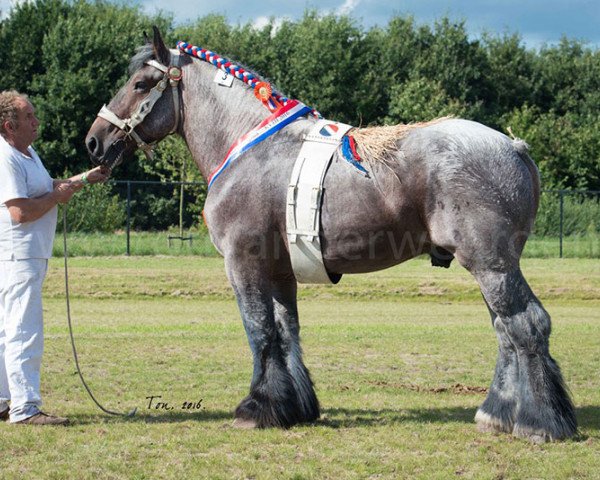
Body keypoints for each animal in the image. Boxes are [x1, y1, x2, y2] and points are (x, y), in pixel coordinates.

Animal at [84, 27, 576, 442]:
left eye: (141, 84)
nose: (94, 140)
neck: (249, 146)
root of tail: (512, 145)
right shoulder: (280, 271)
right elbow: (286, 332)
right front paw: (291, 407)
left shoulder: (244, 263)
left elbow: (259, 331)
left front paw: (256, 408)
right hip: (491, 267)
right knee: (505, 331)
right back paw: (498, 413)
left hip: (492, 264)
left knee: (526, 325)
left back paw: (540, 423)